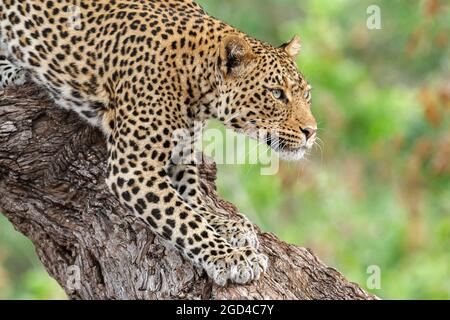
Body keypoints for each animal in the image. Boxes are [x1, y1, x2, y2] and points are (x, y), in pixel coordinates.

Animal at [0, 0, 316, 284]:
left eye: (307, 94)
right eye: (276, 93)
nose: (311, 131)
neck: (199, 87)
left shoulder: (182, 153)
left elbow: (193, 201)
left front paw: (228, 226)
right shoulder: (134, 168)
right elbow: (185, 220)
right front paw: (231, 257)